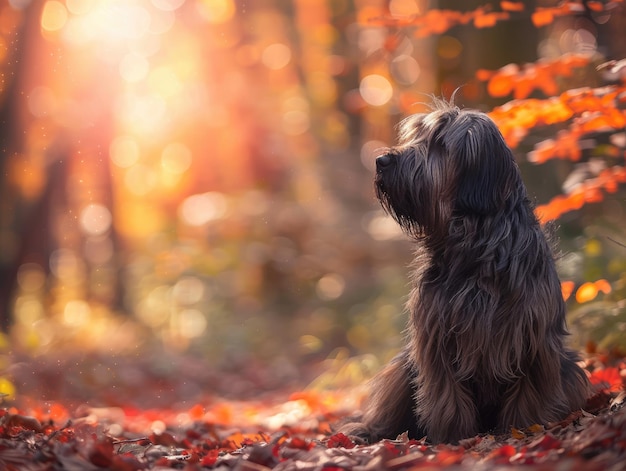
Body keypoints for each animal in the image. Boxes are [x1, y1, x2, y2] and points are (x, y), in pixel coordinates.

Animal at [342, 99, 588, 446]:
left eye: (438, 143)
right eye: (416, 136)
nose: (381, 160)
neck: (476, 242)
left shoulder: (533, 337)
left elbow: (528, 392)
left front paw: (525, 429)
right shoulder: (437, 336)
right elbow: (447, 395)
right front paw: (452, 437)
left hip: (571, 370)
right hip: (403, 367)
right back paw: (367, 431)